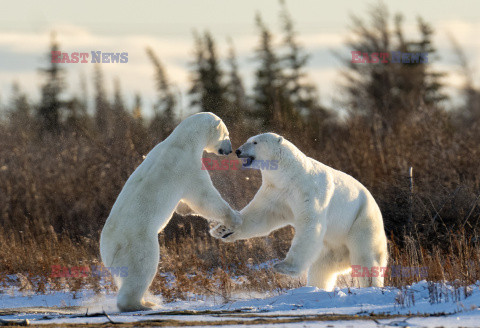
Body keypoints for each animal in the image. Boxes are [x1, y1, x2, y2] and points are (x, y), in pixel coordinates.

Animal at [101, 113, 242, 312]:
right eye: (226, 134)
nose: (230, 150)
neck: (183, 141)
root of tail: (108, 249)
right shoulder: (188, 167)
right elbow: (204, 198)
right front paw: (232, 216)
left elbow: (185, 205)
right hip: (137, 243)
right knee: (142, 269)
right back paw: (143, 304)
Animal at [212, 132, 388, 290]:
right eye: (249, 140)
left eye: (255, 142)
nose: (238, 151)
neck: (291, 174)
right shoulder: (277, 191)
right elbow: (260, 217)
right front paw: (222, 230)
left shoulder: (309, 190)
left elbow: (309, 224)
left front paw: (283, 266)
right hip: (334, 247)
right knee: (322, 267)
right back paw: (316, 287)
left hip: (361, 220)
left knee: (366, 256)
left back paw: (370, 286)